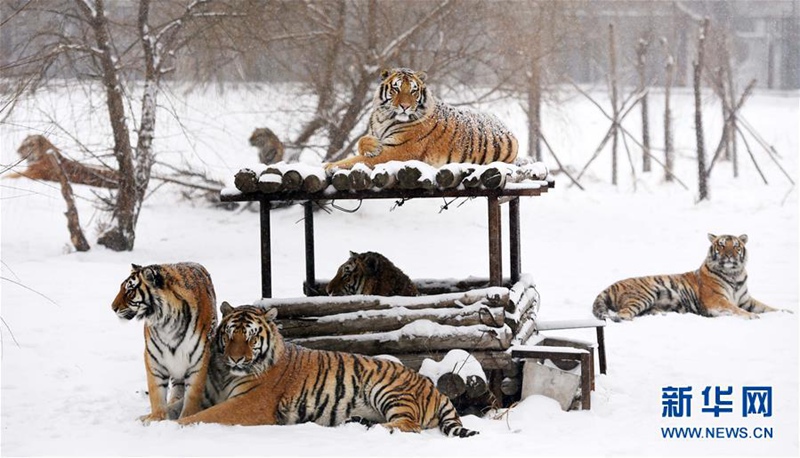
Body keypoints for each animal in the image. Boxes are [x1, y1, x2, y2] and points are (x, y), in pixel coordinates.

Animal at [110, 262, 216, 422]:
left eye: (130, 291)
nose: (112, 307)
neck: (166, 323)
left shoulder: (199, 360)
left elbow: (193, 395)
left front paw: (186, 417)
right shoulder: (154, 358)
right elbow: (156, 392)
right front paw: (156, 418)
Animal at [176, 302, 478, 438]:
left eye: (251, 338)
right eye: (229, 335)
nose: (236, 359)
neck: (226, 373)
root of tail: (435, 389)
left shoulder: (249, 403)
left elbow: (204, 416)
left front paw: (175, 426)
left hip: (388, 389)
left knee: (410, 425)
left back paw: (376, 429)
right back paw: (360, 422)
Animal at [324, 70, 520, 172]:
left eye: (413, 90)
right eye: (396, 88)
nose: (404, 106)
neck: (383, 117)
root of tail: (504, 125)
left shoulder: (398, 152)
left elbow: (355, 160)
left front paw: (329, 165)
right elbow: (361, 141)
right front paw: (372, 145)